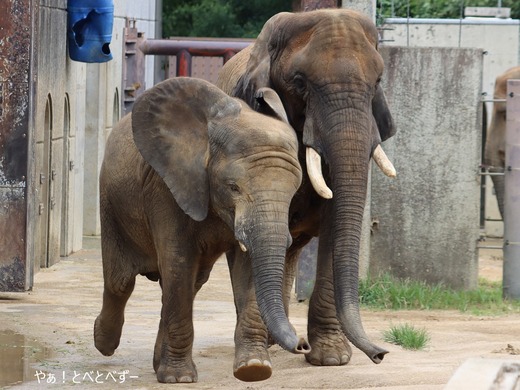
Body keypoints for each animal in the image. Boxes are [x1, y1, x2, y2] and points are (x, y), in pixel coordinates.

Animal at [93, 77, 308, 382]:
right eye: (233, 187)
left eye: (293, 191)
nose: (303, 344)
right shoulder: (165, 188)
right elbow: (178, 263)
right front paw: (179, 379)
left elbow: (246, 269)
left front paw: (254, 369)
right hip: (111, 206)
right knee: (120, 282)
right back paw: (103, 343)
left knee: (186, 284)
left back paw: (156, 362)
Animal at [217, 9, 396, 380]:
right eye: (299, 83)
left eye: (377, 83)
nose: (381, 354)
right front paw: (254, 363)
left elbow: (334, 226)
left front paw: (331, 358)